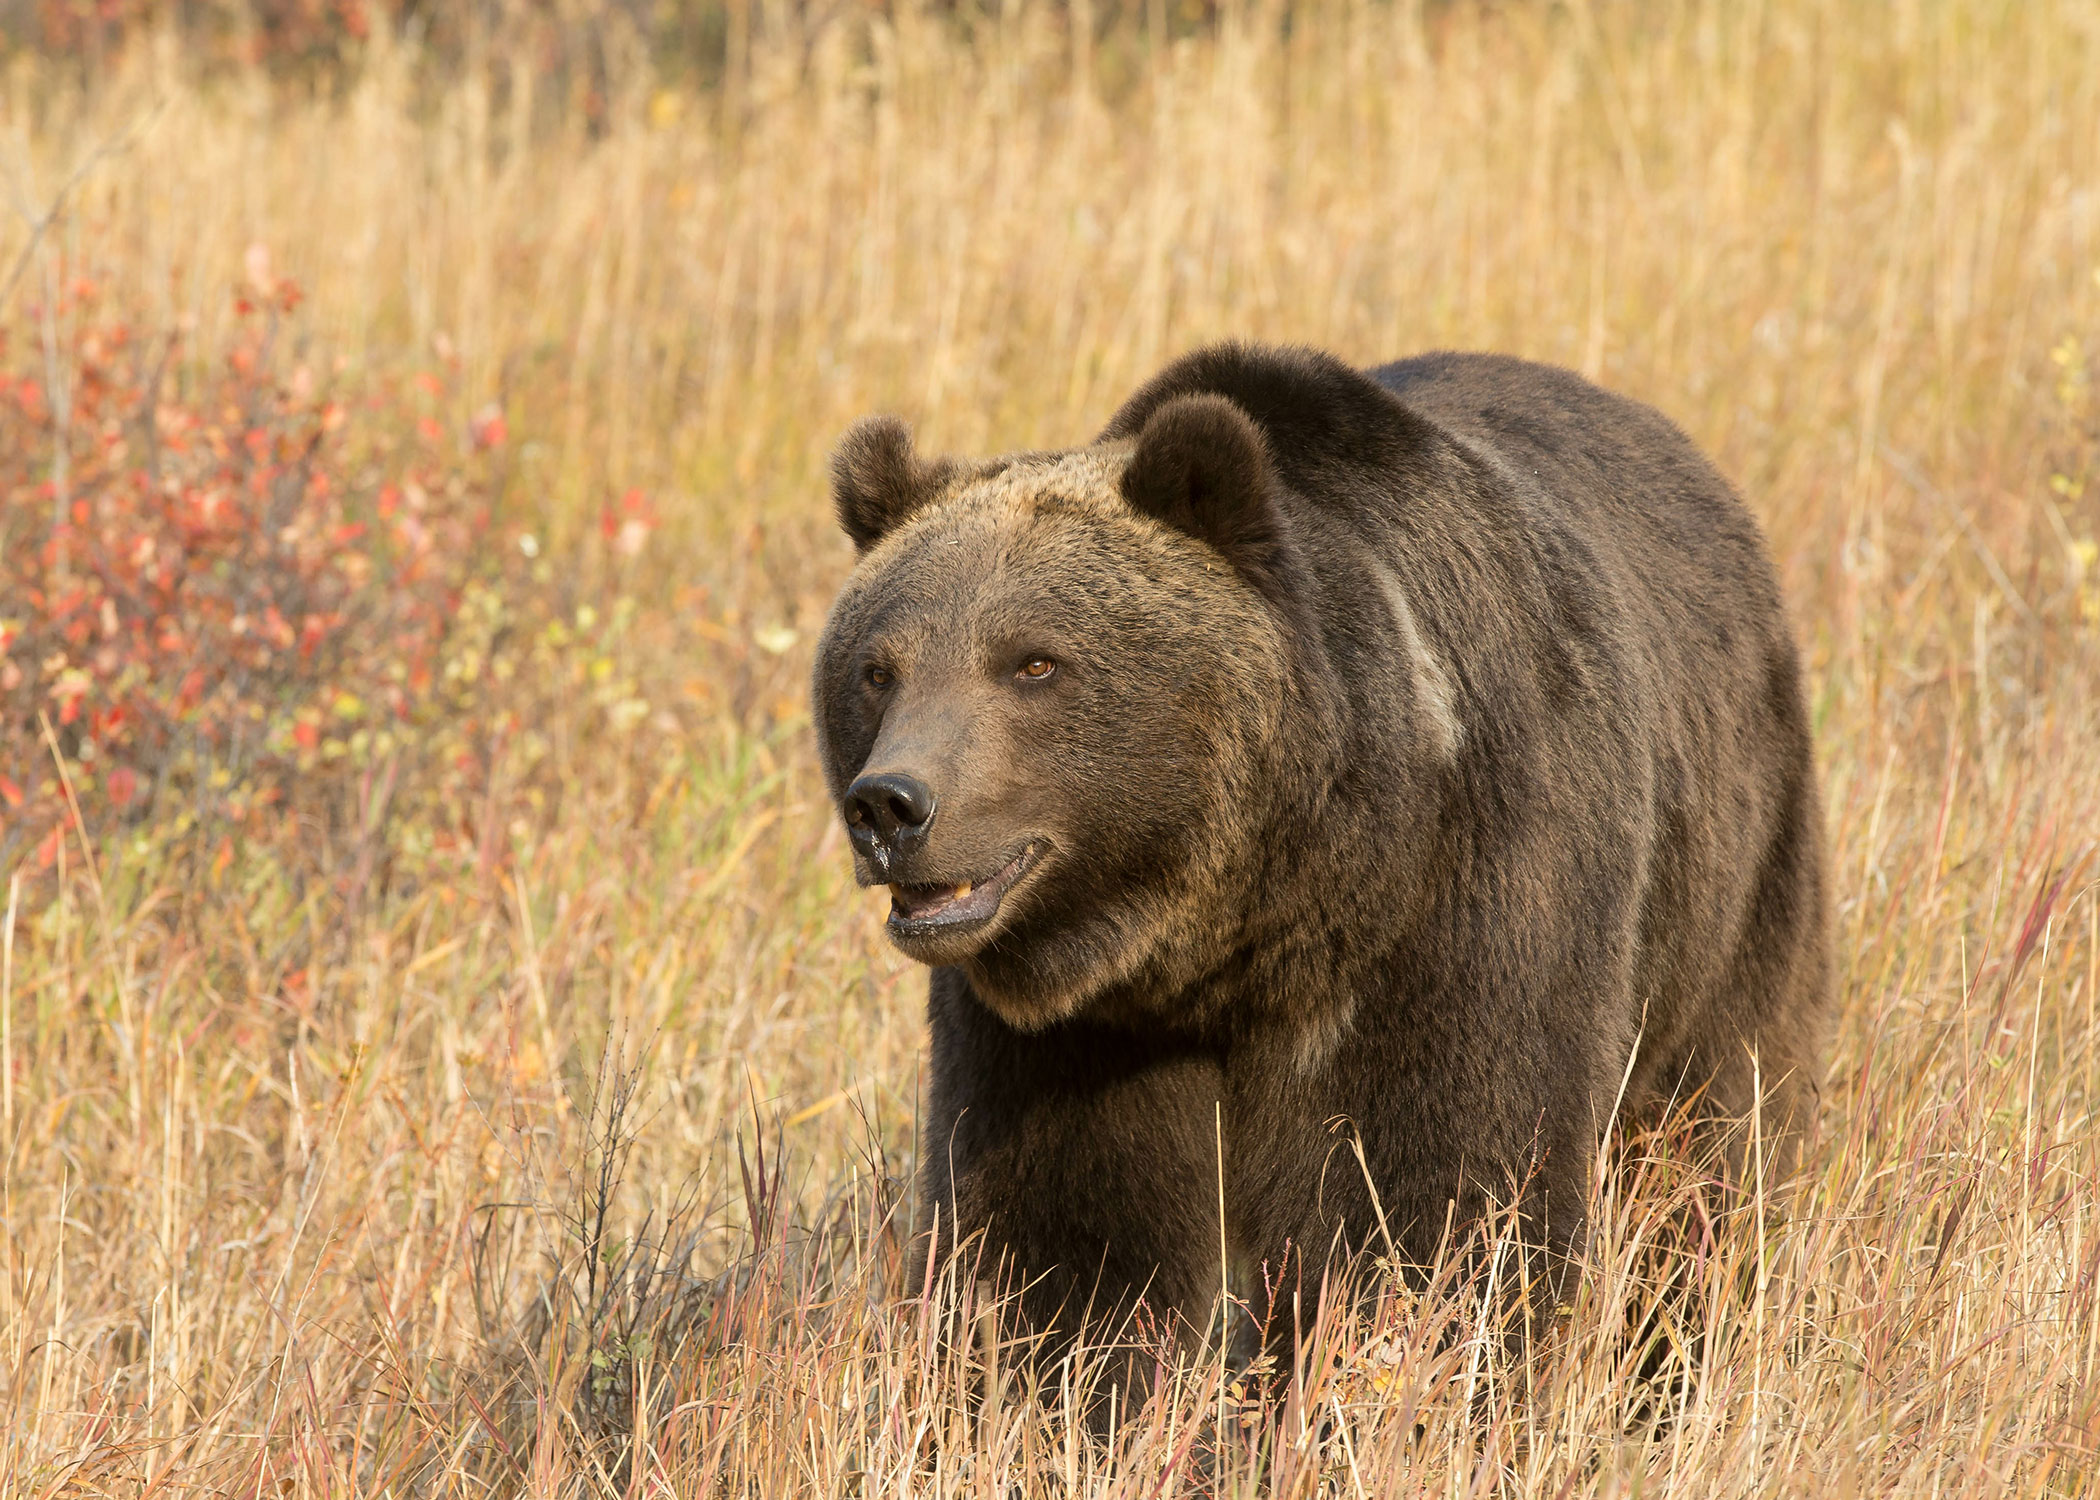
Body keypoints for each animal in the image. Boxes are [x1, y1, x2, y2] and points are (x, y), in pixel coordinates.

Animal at [811, 343, 1830, 1377]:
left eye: (1034, 662)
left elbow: (1442, 1205)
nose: (890, 805)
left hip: (1733, 880)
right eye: (878, 668)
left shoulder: (1461, 913)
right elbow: (1055, 1244)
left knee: (1713, 1137)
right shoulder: (1078, 1034)